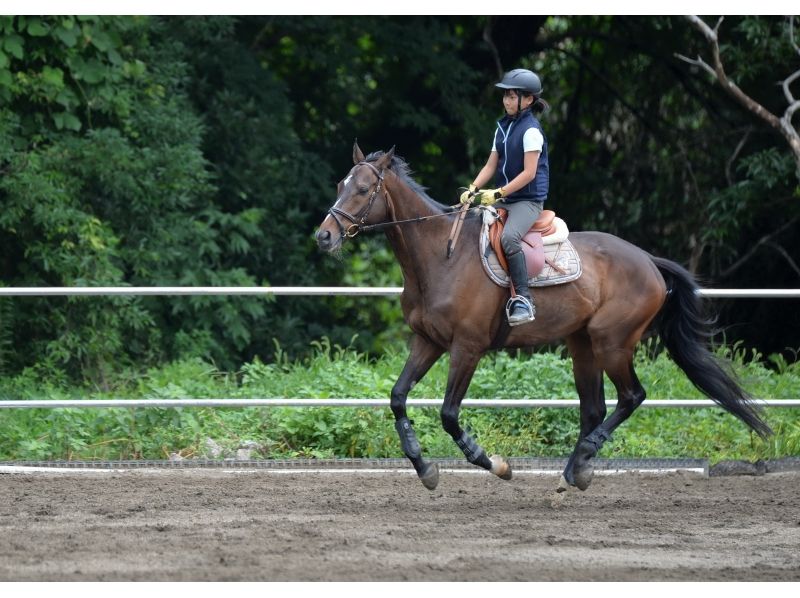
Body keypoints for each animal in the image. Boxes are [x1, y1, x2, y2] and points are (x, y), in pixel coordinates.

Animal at [316, 143, 772, 494]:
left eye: (362, 189)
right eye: (339, 186)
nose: (324, 236)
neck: (440, 256)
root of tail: (648, 261)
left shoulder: (467, 348)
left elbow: (448, 414)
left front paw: (495, 464)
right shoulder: (427, 342)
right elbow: (397, 397)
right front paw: (425, 468)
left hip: (612, 343)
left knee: (631, 396)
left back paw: (584, 461)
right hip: (582, 344)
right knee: (594, 408)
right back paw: (573, 472)